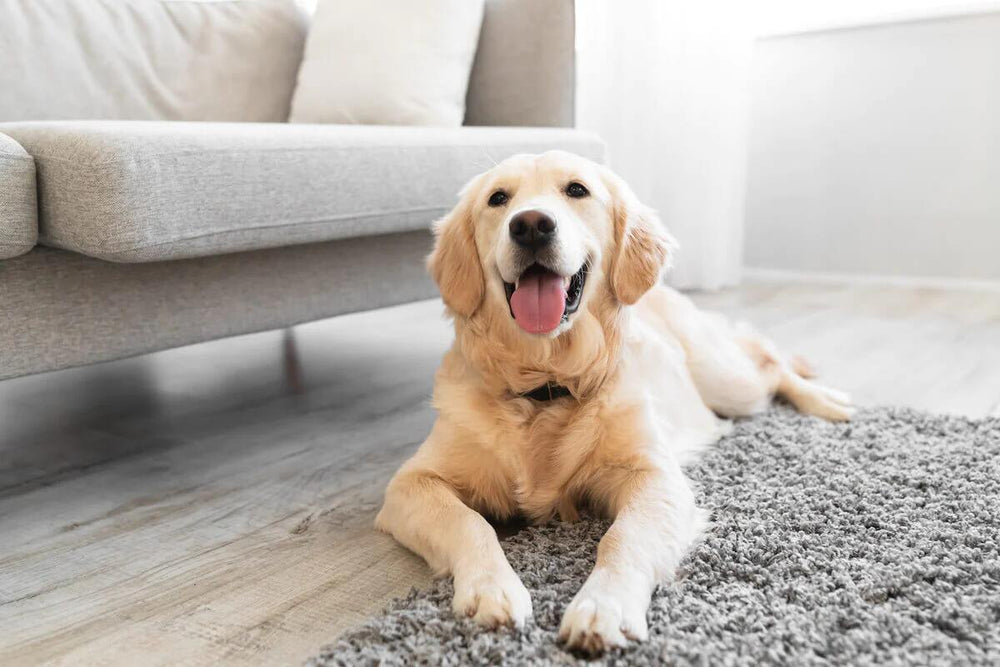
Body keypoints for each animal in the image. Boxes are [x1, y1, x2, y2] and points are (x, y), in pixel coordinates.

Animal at [376, 150, 852, 652]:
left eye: (576, 190)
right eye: (498, 198)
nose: (530, 225)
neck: (546, 384)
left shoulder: (654, 476)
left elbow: (624, 537)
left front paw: (603, 606)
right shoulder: (413, 483)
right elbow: (470, 522)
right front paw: (491, 589)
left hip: (729, 381)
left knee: (770, 363)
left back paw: (827, 401)